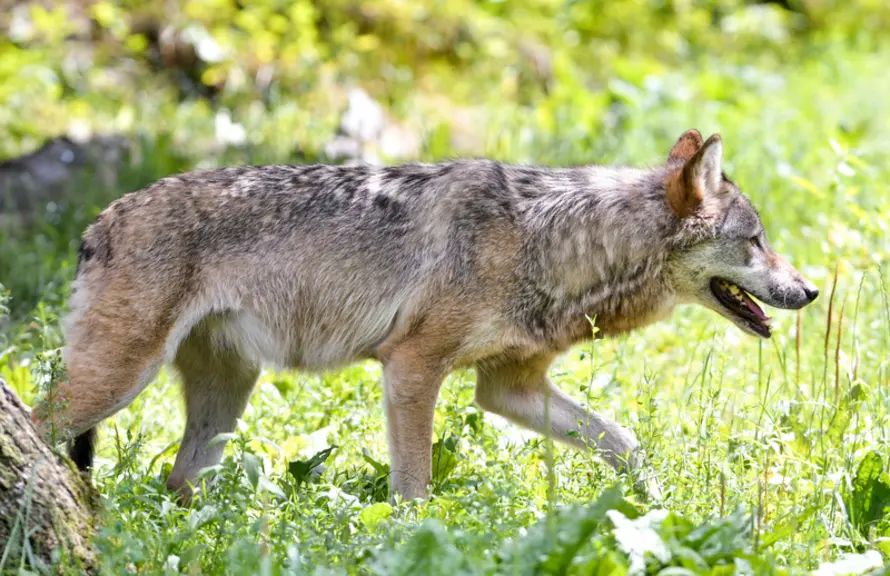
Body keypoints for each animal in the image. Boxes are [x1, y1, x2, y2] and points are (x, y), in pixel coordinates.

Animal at [33, 129, 818, 501]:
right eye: (756, 241)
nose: (810, 291)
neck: (557, 239)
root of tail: (98, 221)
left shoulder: (508, 387)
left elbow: (623, 441)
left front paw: (655, 507)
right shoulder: (411, 369)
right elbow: (413, 488)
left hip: (225, 396)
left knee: (178, 482)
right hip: (116, 379)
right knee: (42, 428)